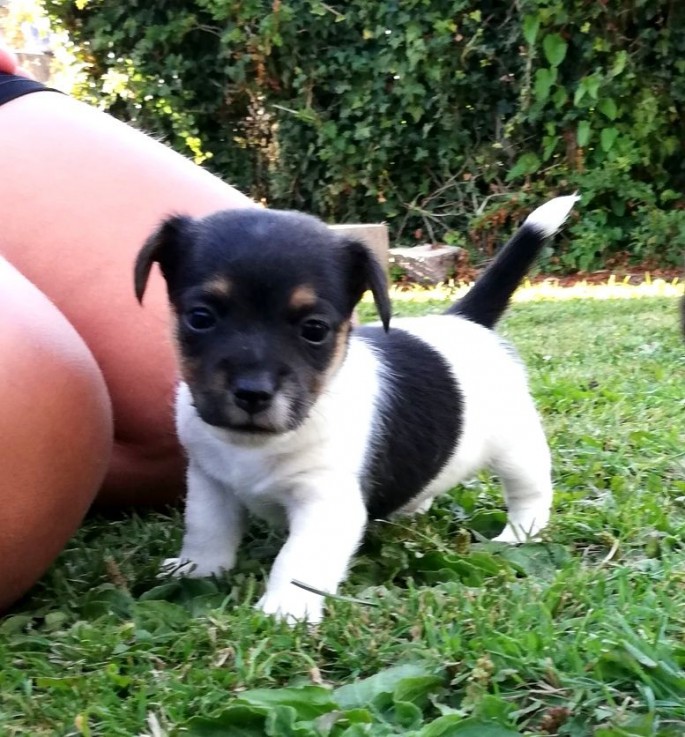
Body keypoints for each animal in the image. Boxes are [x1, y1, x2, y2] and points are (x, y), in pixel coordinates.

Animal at [134, 194, 576, 620]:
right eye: (200, 318)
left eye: (314, 329)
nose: (252, 392)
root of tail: (467, 321)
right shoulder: (210, 483)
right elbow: (206, 530)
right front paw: (196, 572)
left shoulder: (326, 500)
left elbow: (298, 560)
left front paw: (284, 610)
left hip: (517, 448)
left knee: (530, 493)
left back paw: (518, 534)